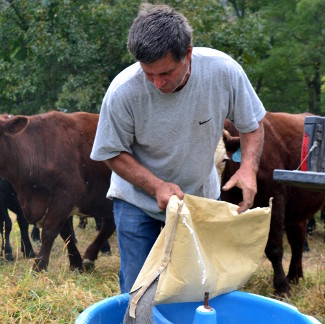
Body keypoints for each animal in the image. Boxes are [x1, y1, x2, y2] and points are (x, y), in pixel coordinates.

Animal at [220, 112, 324, 296]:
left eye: (223, 159)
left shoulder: (275, 201)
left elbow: (274, 248)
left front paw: (282, 287)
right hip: (297, 212)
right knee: (297, 240)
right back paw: (295, 276)